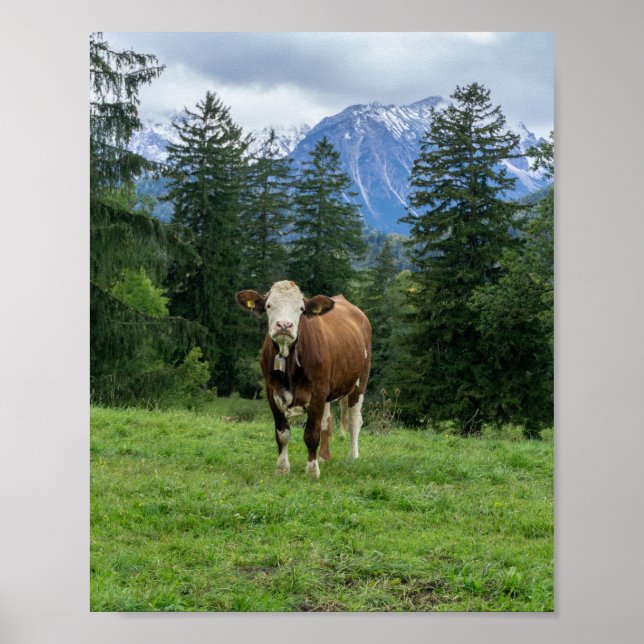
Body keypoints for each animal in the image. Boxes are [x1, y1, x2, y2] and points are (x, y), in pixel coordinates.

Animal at [236, 280, 371, 479]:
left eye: (300, 308)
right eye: (269, 305)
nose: (284, 325)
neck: (288, 359)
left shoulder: (317, 393)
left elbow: (311, 434)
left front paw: (312, 470)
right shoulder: (272, 393)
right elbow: (282, 434)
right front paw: (282, 468)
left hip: (360, 380)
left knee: (355, 419)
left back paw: (352, 456)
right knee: (327, 421)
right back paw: (324, 456)